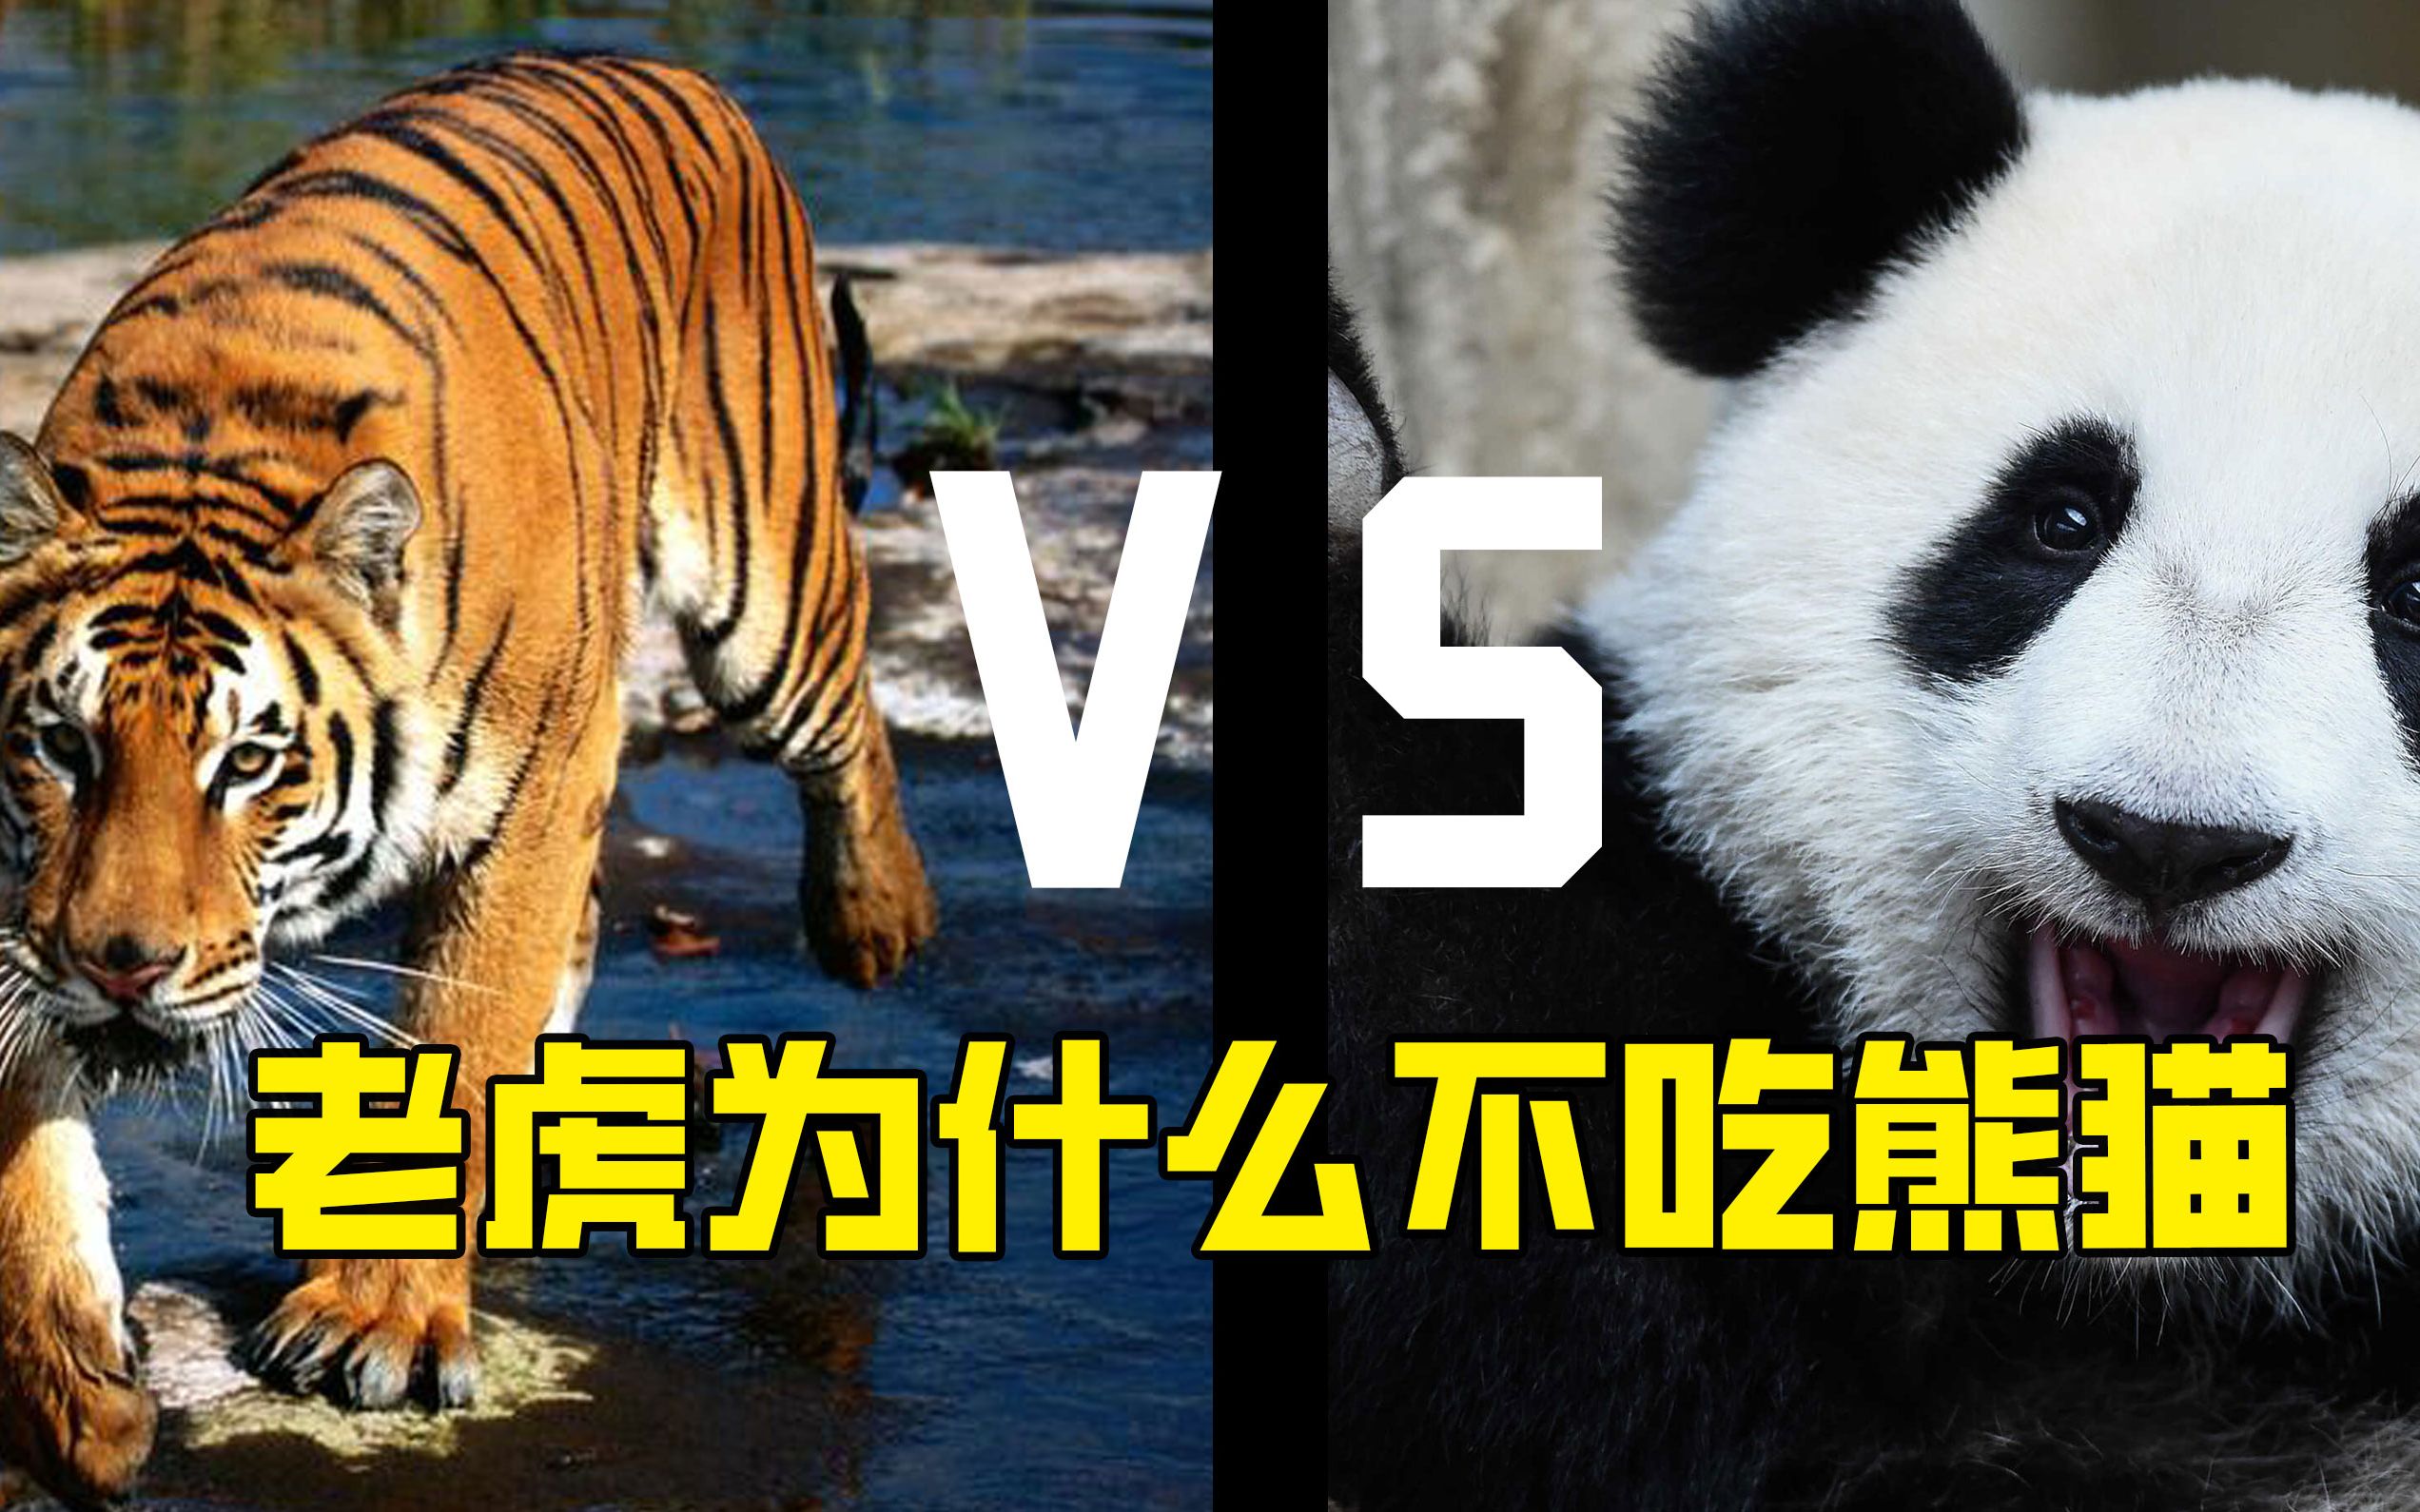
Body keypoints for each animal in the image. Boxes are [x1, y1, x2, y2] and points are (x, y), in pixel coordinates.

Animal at [0, 50, 936, 1502]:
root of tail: (667, 64)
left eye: (249, 762)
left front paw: (376, 1317)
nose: (124, 966)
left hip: (760, 588)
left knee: (846, 717)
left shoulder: (536, 790)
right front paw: (68, 1390)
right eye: (64, 745)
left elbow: (464, 1032)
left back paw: (877, 921)